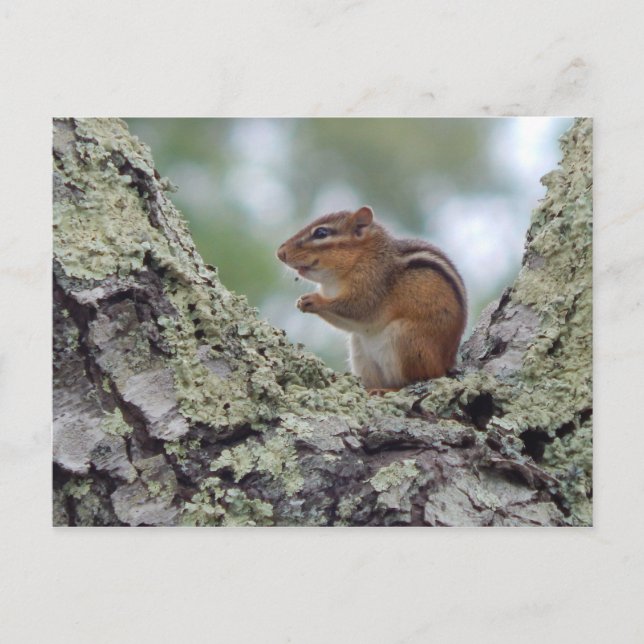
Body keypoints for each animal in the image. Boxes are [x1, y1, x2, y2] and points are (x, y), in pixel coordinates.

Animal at [276, 206, 467, 393]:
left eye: (321, 233)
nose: (280, 253)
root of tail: (447, 364)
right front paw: (302, 302)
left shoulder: (372, 286)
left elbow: (358, 309)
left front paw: (315, 300)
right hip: (359, 349)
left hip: (406, 339)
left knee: (416, 379)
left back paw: (387, 390)